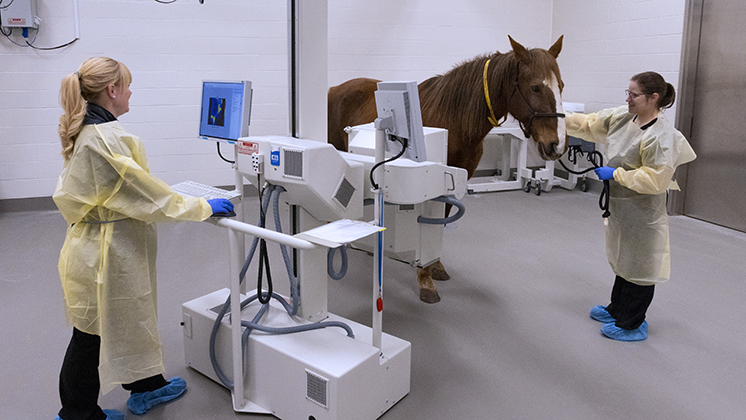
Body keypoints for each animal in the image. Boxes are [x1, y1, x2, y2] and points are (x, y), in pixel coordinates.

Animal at [328, 36, 567, 303]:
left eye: (561, 85)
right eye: (535, 87)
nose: (556, 145)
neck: (454, 119)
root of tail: (334, 89)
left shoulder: (453, 180)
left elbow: (441, 219)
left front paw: (436, 266)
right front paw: (425, 280)